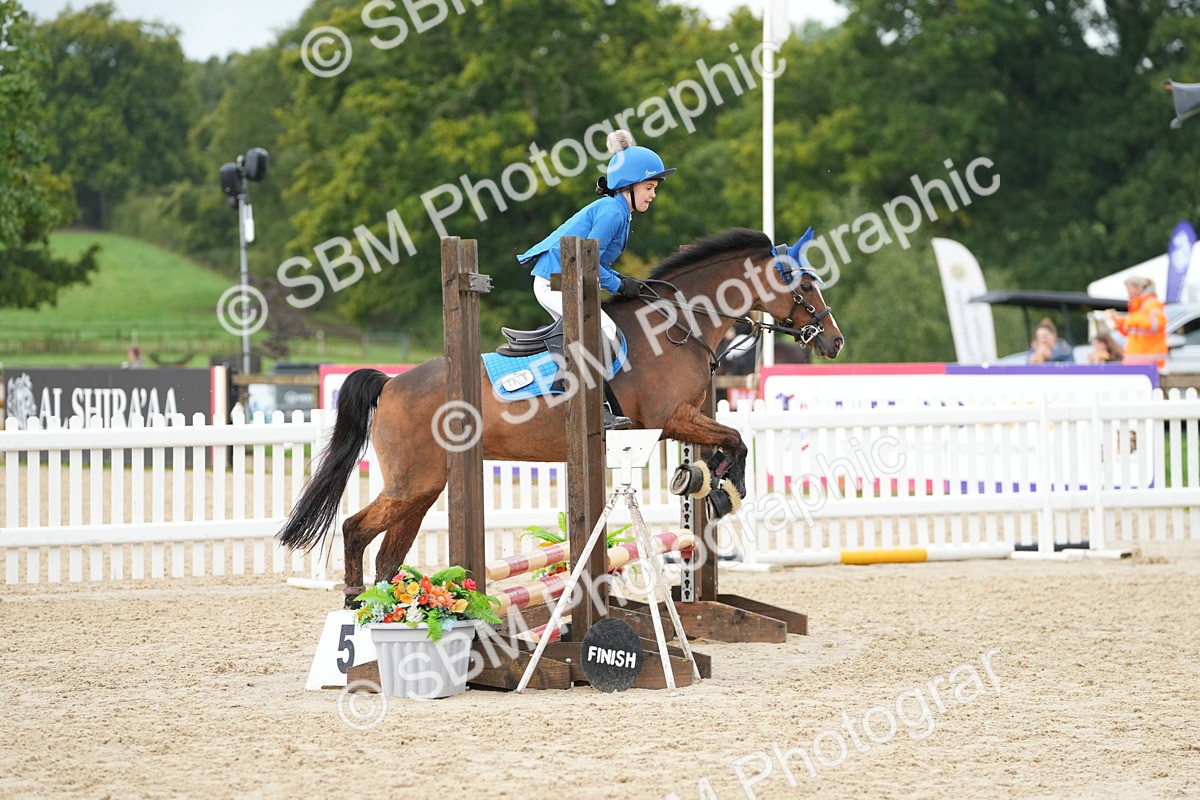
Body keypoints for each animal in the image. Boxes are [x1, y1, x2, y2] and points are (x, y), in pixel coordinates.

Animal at [277, 227, 843, 602]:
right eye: (804, 286)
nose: (834, 341)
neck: (679, 324)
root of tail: (392, 383)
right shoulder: (669, 417)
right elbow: (735, 436)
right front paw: (725, 488)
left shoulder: (678, 420)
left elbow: (727, 439)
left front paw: (707, 481)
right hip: (414, 482)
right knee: (355, 529)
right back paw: (355, 603)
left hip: (426, 487)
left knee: (388, 555)